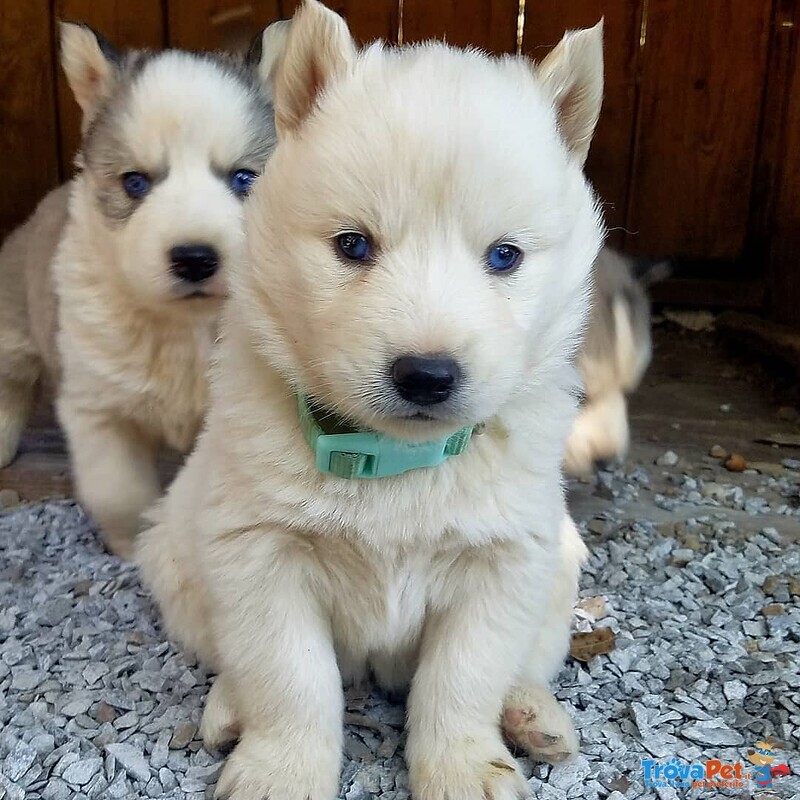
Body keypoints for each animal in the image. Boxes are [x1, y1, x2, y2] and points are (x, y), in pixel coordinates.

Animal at [0, 18, 290, 556]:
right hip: (13, 326)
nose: (195, 258)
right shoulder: (97, 409)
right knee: (10, 381)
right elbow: (118, 491)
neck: (187, 329)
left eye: (244, 179)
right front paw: (134, 545)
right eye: (135, 183)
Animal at [138, 3, 604, 796]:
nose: (427, 375)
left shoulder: (505, 559)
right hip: (175, 556)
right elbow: (292, 678)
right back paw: (229, 707)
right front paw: (281, 770)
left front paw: (465, 766)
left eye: (504, 256)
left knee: (525, 661)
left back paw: (531, 713)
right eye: (353, 245)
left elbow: (463, 678)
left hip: (559, 572)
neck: (394, 462)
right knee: (232, 658)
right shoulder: (258, 553)